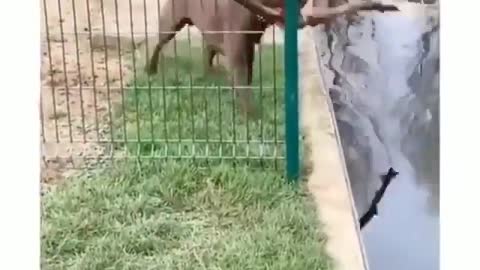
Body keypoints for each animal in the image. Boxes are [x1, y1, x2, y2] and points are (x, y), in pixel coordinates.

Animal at [146, 0, 398, 118]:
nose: (301, 21)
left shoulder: (248, 49)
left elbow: (246, 77)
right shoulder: (238, 48)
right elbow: (242, 82)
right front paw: (251, 116)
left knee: (208, 50)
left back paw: (209, 74)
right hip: (172, 21)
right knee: (158, 43)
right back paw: (150, 70)